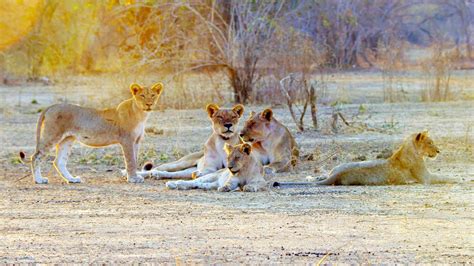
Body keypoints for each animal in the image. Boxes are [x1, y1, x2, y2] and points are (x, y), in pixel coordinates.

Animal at [19, 82, 164, 183]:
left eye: (153, 95)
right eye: (142, 96)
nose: (149, 104)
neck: (141, 115)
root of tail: (51, 106)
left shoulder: (136, 141)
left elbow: (135, 158)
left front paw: (135, 176)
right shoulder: (127, 140)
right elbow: (130, 160)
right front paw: (133, 178)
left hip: (67, 139)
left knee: (59, 161)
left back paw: (72, 179)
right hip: (52, 135)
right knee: (36, 156)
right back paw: (39, 180)